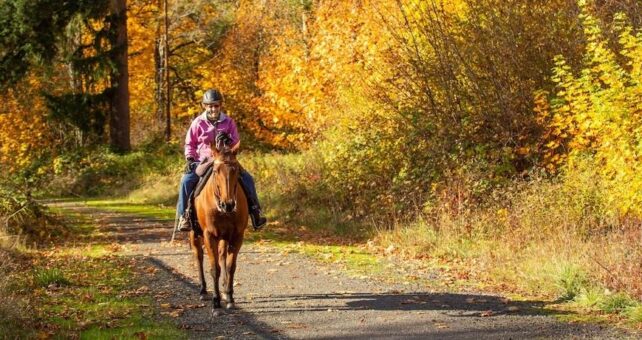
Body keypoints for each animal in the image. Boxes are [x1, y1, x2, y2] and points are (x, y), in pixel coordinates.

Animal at [188, 145, 248, 314]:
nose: (228, 204)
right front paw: (216, 303)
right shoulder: (209, 236)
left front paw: (229, 297)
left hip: (224, 237)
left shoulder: (237, 236)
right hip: (194, 234)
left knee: (222, 256)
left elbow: (230, 266)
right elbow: (215, 268)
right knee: (199, 257)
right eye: (215, 170)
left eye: (236, 169)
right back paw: (203, 291)